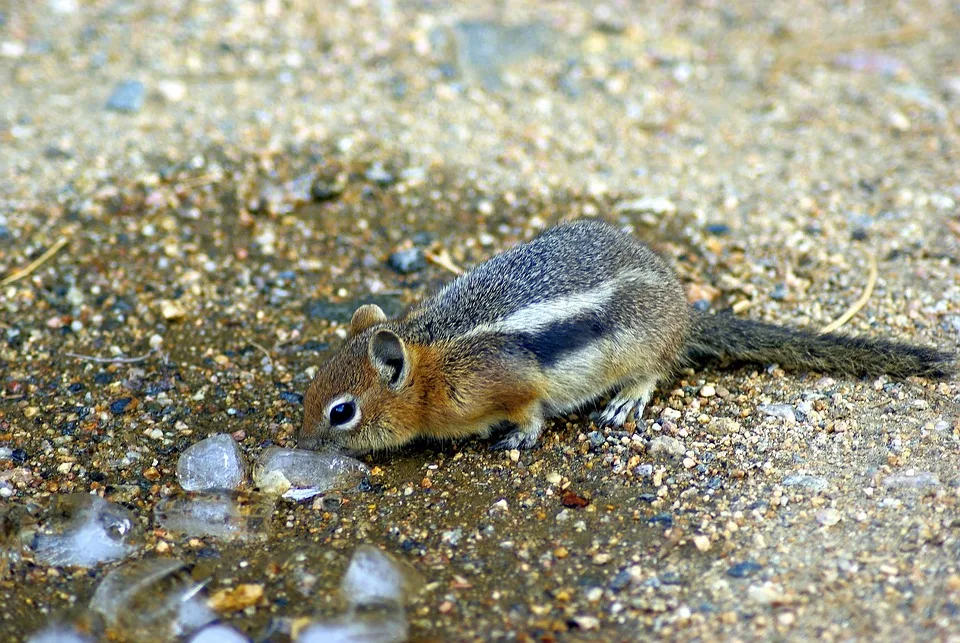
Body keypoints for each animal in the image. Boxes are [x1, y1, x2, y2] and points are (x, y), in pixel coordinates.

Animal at [300, 220, 952, 452]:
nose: (300, 444)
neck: (432, 367)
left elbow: (530, 410)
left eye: (341, 412)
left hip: (638, 348)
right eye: (307, 393)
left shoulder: (506, 383)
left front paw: (519, 437)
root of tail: (684, 312)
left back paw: (628, 399)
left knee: (656, 370)